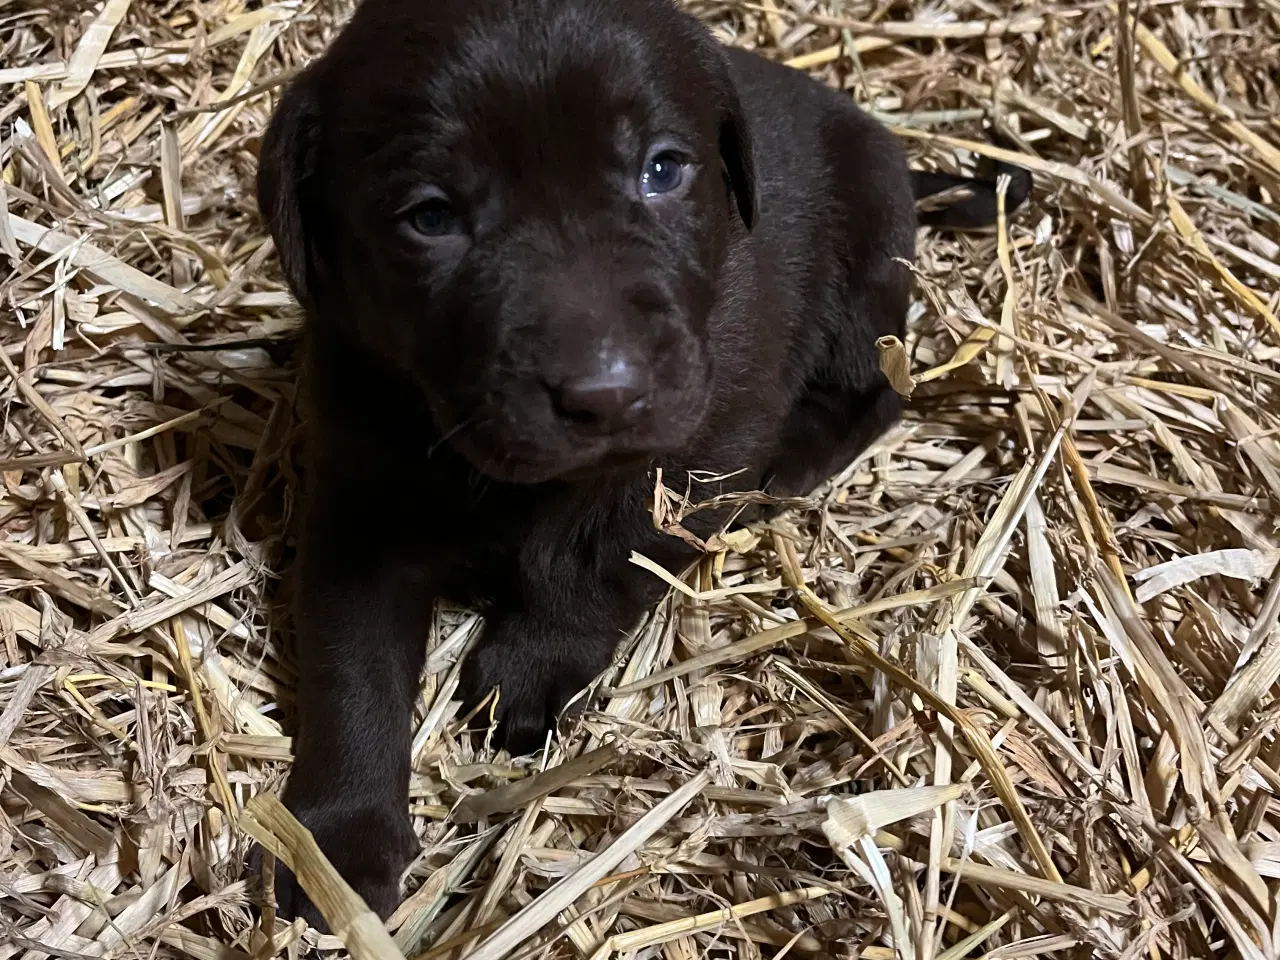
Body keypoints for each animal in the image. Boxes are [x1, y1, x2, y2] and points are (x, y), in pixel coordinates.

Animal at [257, 0, 1029, 926]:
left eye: (663, 170)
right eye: (430, 217)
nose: (606, 394)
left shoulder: (708, 435)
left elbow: (595, 561)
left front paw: (529, 668)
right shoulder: (359, 492)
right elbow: (353, 668)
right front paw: (335, 848)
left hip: (864, 265)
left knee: (879, 388)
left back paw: (794, 461)